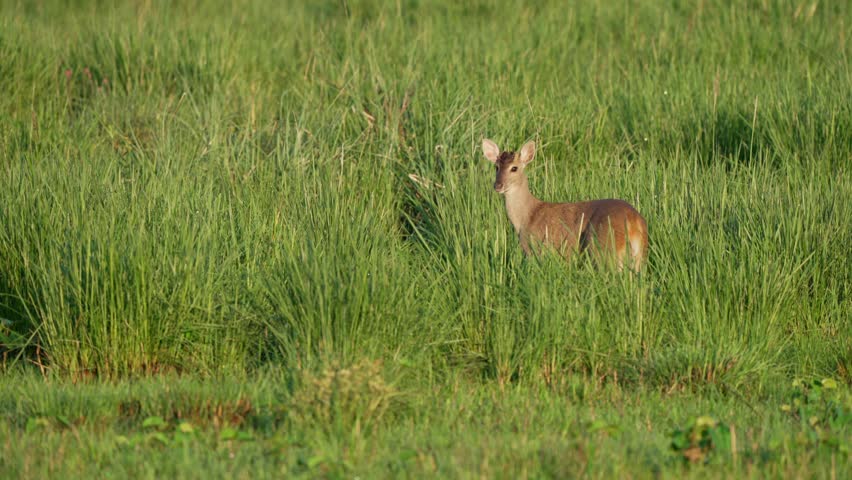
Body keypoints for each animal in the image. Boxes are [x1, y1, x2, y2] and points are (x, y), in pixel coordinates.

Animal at [482, 138, 648, 272]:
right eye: (496, 167)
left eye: (514, 168)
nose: (498, 185)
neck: (526, 217)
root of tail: (634, 221)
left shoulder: (534, 248)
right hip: (638, 255)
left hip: (604, 248)